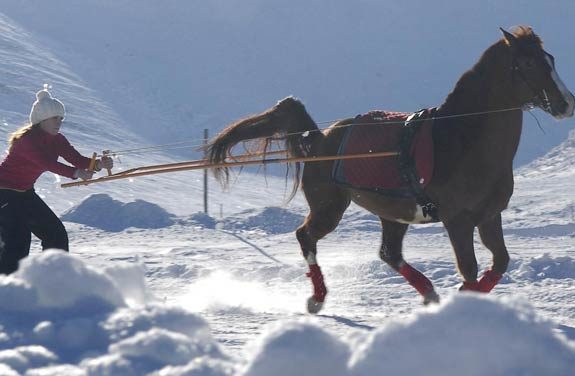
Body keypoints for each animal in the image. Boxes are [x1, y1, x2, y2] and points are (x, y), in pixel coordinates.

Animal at [205, 26, 572, 312]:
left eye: (551, 60)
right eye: (528, 63)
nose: (566, 104)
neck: (462, 139)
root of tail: (320, 139)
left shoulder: (489, 216)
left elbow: (499, 264)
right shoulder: (458, 220)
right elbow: (469, 269)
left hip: (391, 213)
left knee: (388, 253)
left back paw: (429, 294)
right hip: (329, 207)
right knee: (306, 236)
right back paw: (318, 298)